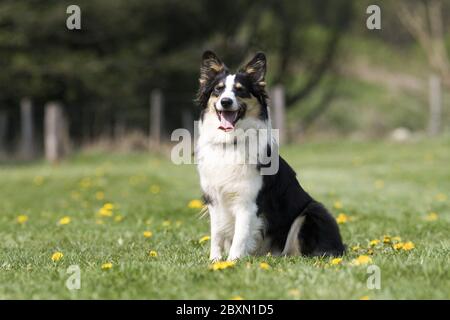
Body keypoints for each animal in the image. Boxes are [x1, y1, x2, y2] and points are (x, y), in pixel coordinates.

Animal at [194, 51, 344, 262]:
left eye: (240, 91)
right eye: (218, 89)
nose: (225, 102)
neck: (232, 142)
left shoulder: (248, 202)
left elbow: (240, 235)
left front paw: (232, 262)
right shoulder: (214, 199)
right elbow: (216, 234)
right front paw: (215, 261)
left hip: (311, 211)